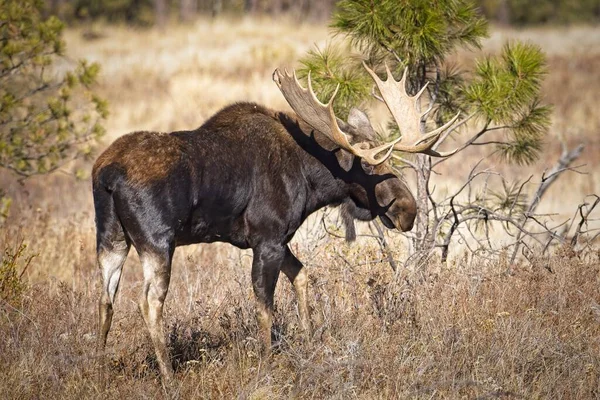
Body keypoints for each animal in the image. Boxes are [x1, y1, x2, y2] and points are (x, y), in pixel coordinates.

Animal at [94, 63, 460, 382]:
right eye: (370, 163)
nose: (408, 209)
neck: (310, 180)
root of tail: (107, 174)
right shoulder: (267, 238)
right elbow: (265, 305)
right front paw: (267, 363)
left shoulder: (279, 240)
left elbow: (302, 276)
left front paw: (309, 340)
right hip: (157, 241)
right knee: (149, 302)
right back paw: (168, 377)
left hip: (111, 239)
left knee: (105, 299)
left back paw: (98, 369)